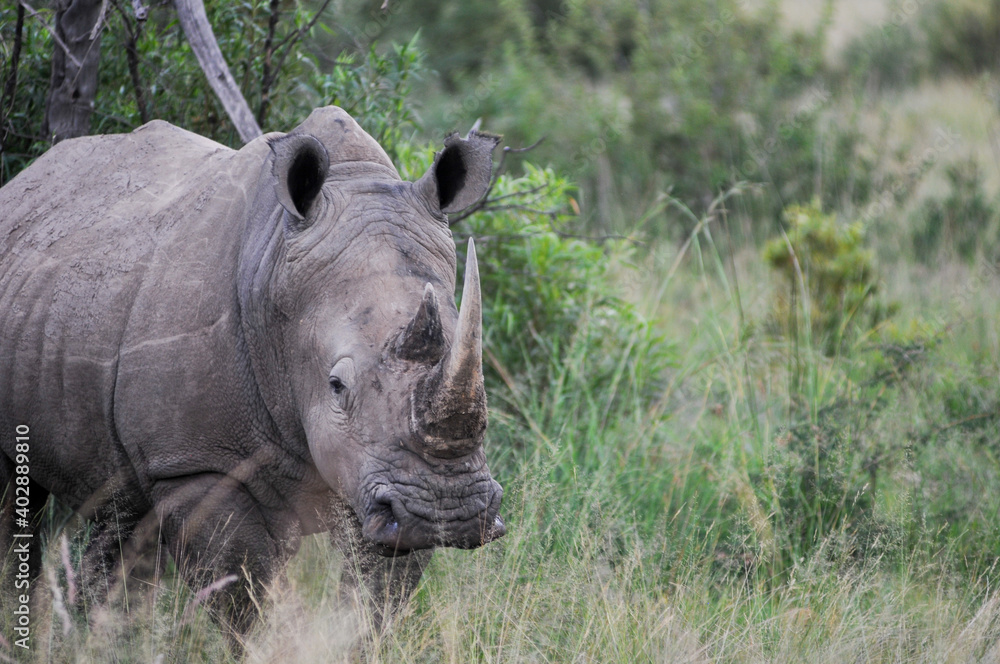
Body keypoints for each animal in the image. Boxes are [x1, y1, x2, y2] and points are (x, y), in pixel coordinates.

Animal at [0, 106, 505, 637]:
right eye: (336, 386)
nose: (448, 511)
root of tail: (26, 180)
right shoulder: (198, 464)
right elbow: (242, 597)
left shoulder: (384, 482)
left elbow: (375, 598)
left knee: (120, 511)